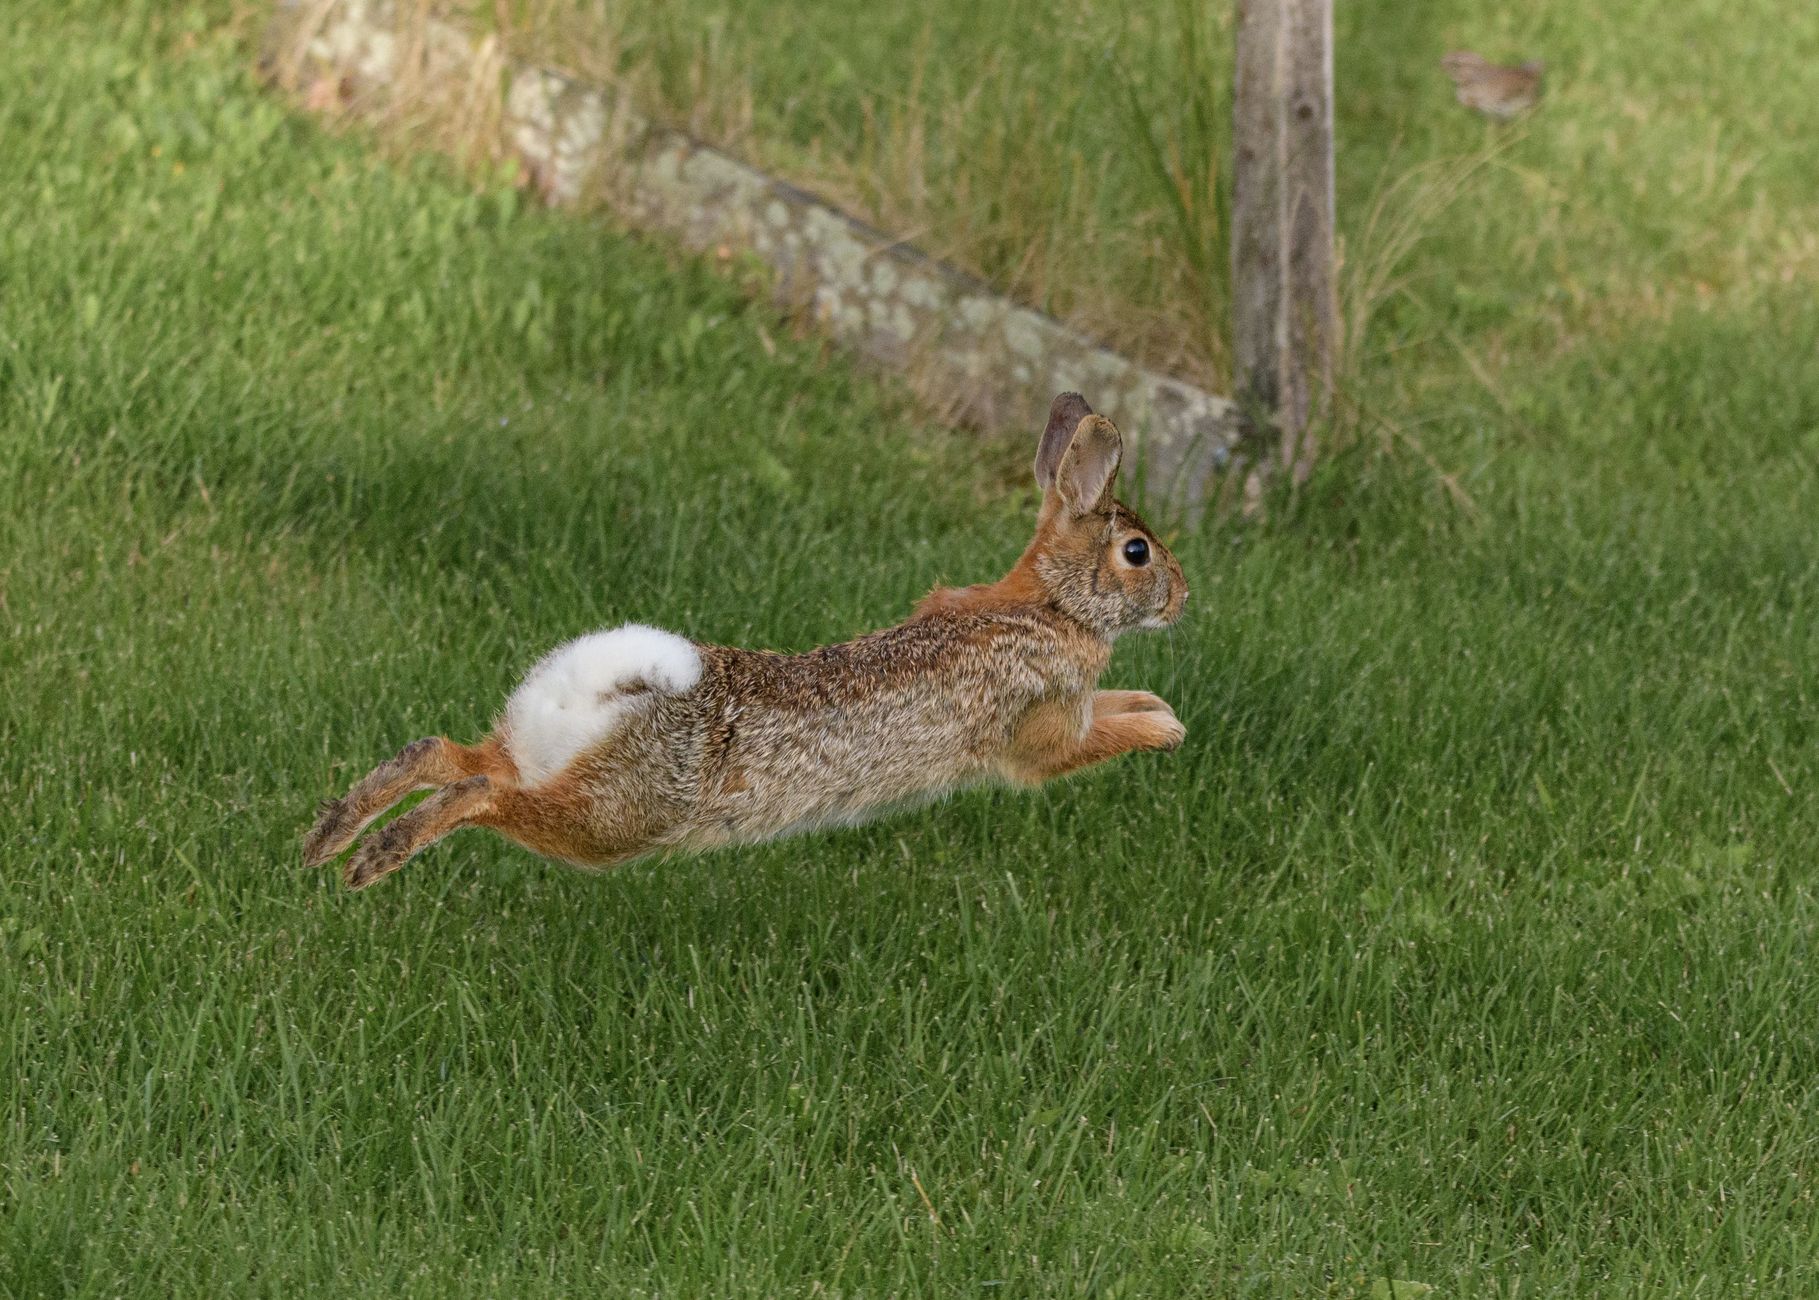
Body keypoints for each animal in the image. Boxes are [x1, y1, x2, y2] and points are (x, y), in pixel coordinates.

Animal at [304, 392, 1188, 890]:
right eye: (1136, 553)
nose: (1182, 597)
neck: (1052, 604)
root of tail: (596, 687)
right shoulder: (1040, 735)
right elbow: (1090, 740)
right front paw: (1163, 729)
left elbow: (1115, 701)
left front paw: (1157, 706)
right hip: (610, 823)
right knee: (482, 795)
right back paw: (373, 860)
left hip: (540, 757)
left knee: (445, 754)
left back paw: (330, 838)